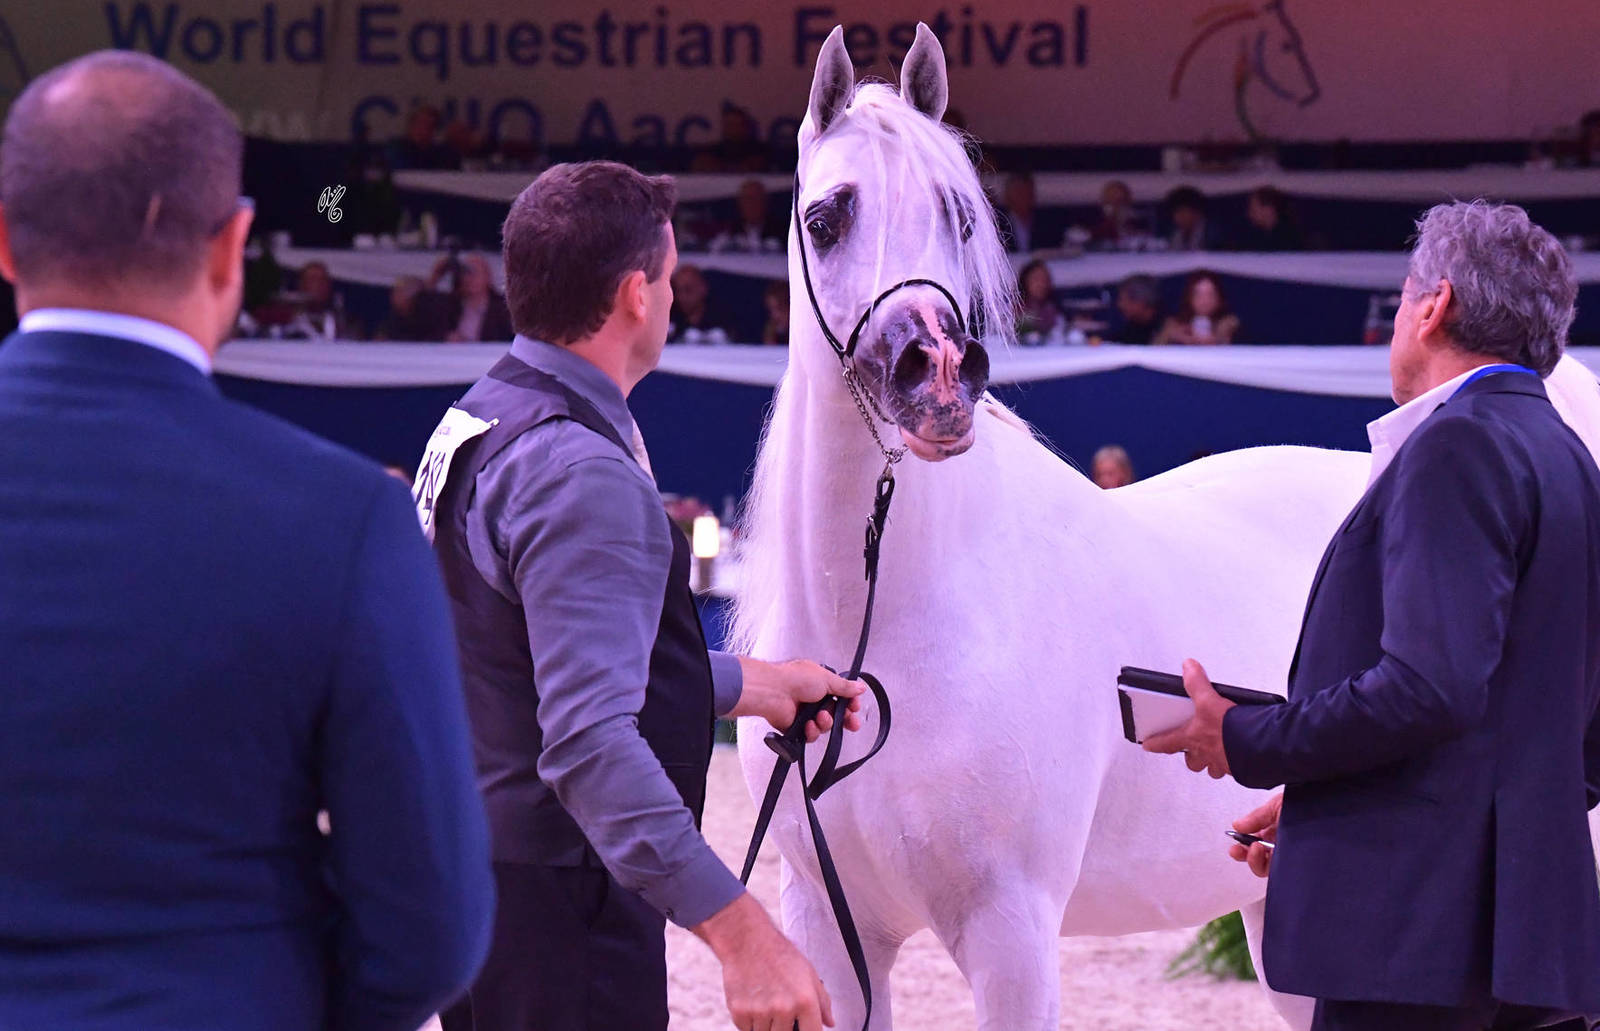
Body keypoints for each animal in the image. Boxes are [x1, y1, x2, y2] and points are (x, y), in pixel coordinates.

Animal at [733, 22, 1600, 1031]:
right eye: (826, 217)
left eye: (959, 218)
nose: (938, 377)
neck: (892, 620)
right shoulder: (832, 929)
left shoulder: (1011, 931)